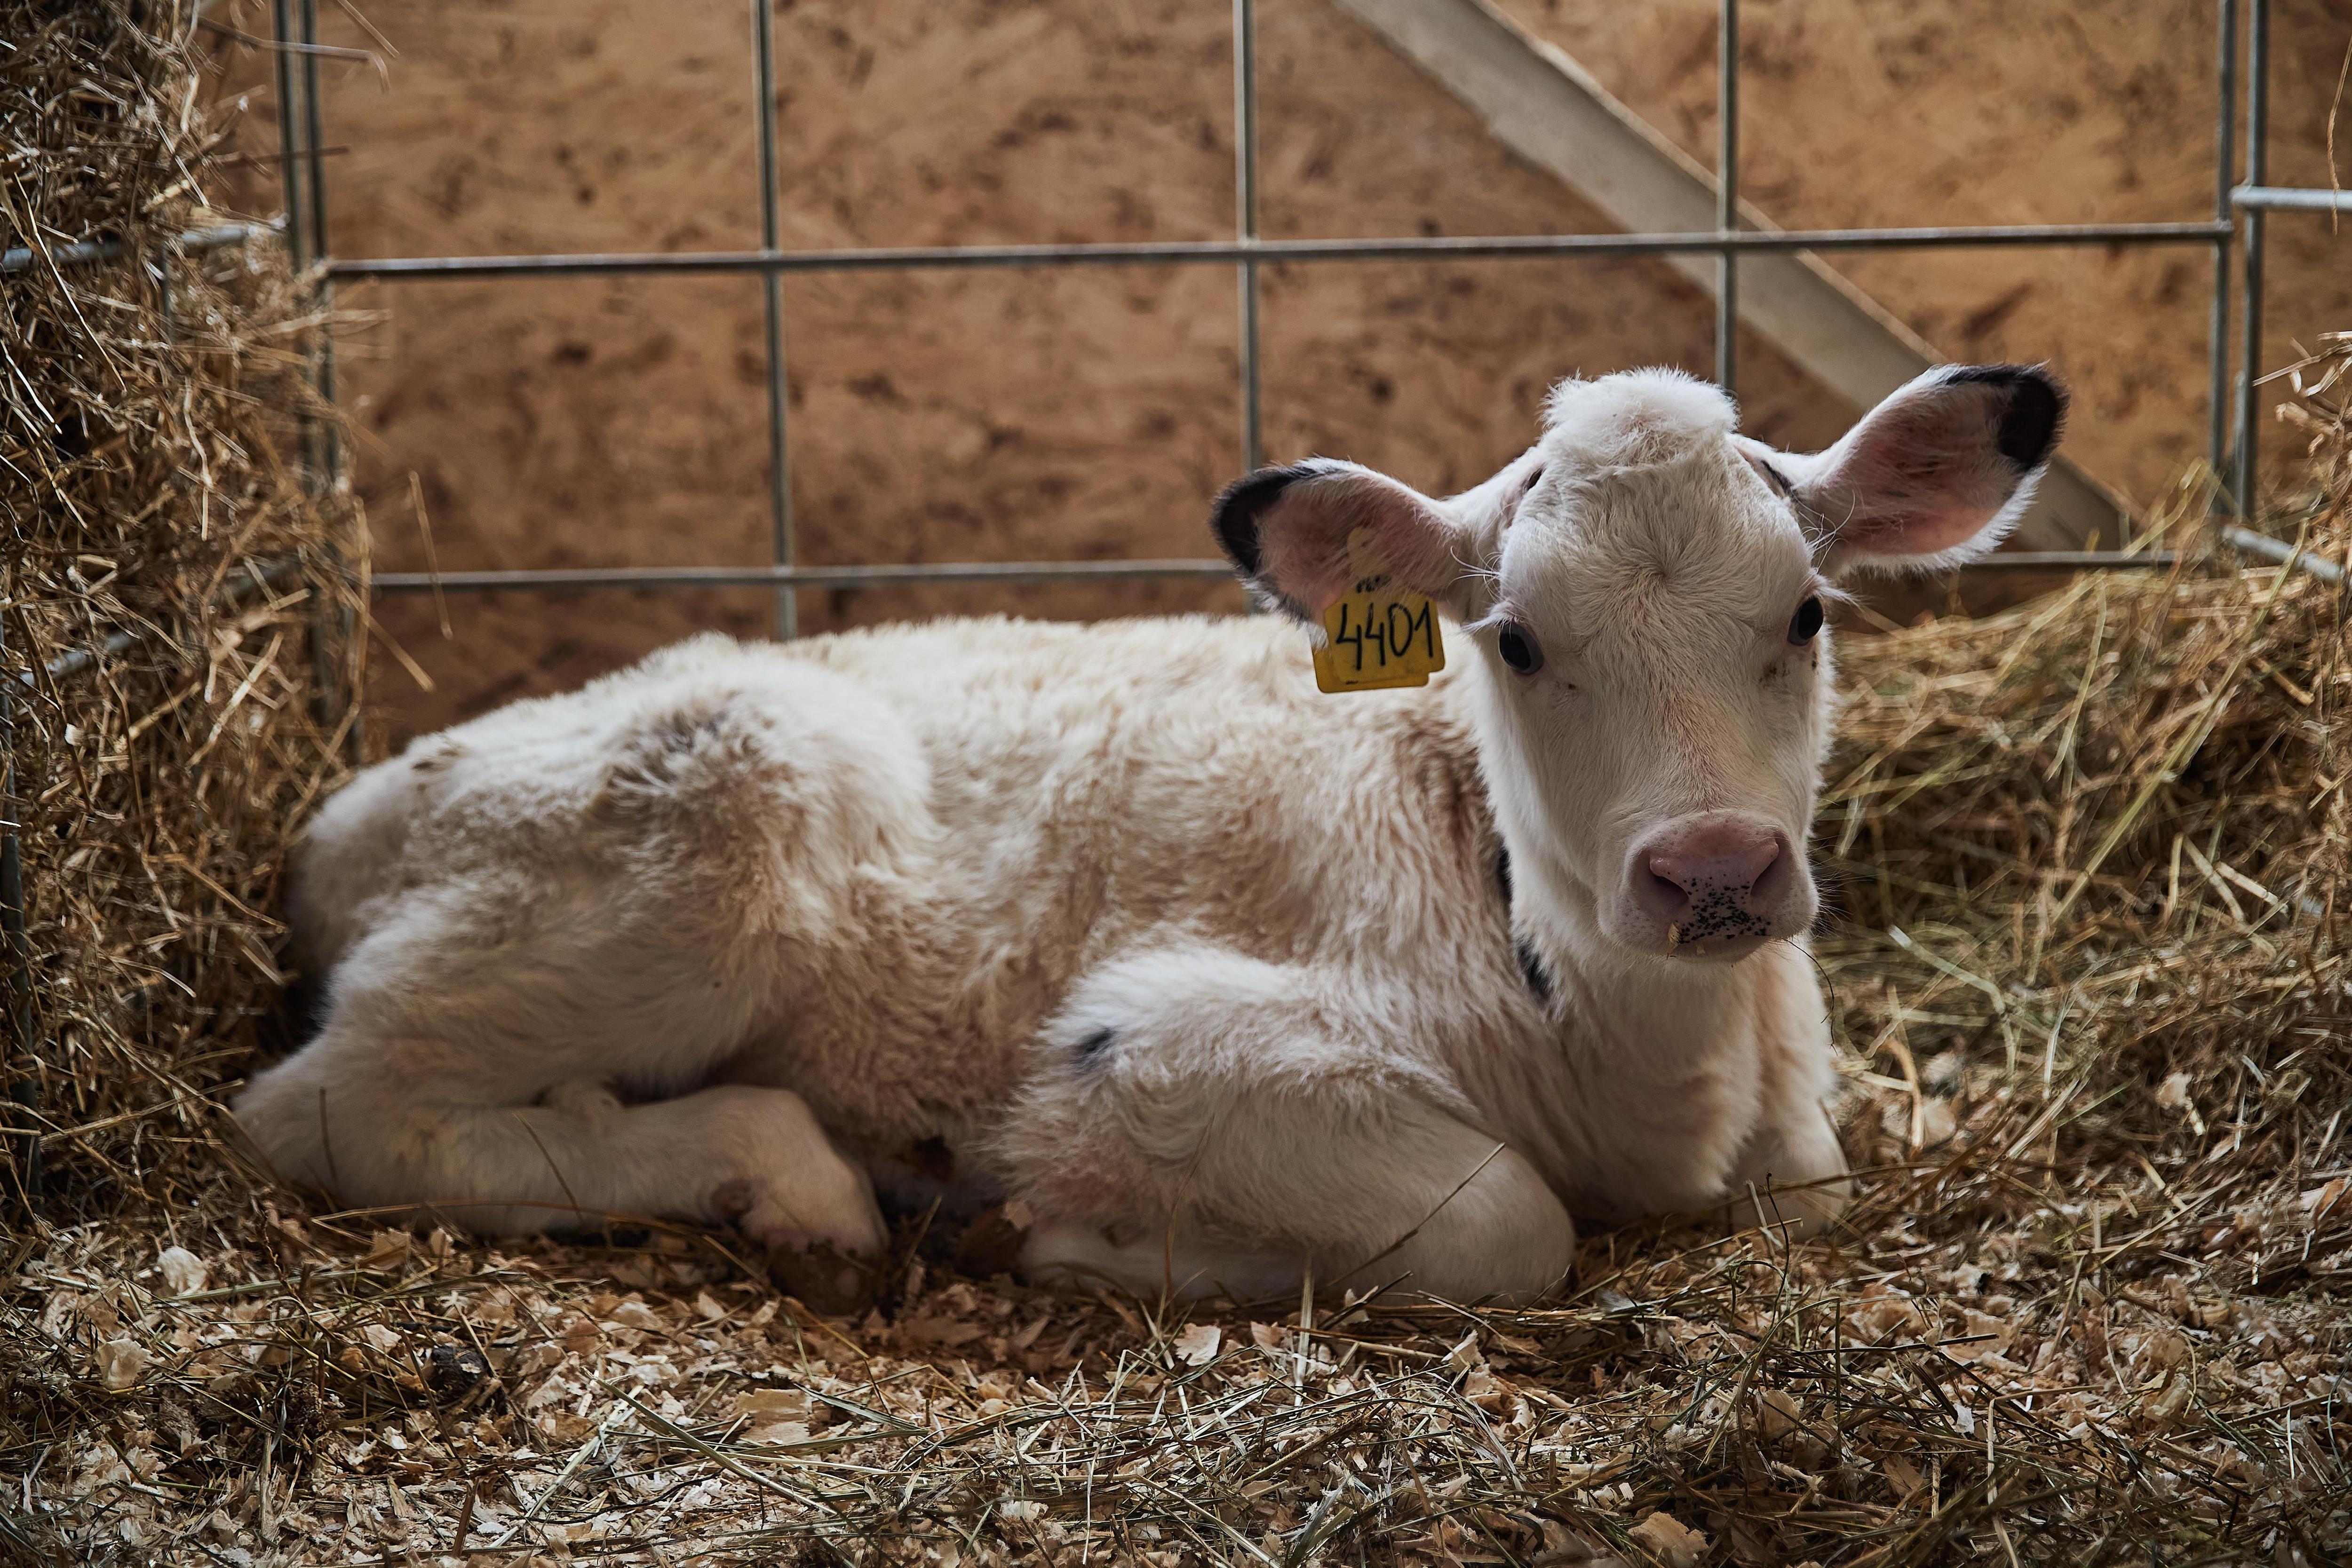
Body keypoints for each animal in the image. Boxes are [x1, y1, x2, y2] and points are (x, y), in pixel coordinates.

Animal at [234, 362, 2060, 1307]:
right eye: (1519, 641)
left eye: (1806, 612)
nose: (1711, 871)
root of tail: (340, 814)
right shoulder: (1156, 1044)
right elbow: (1504, 1222)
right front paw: (1097, 1235)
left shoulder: (1795, 1122)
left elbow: (1806, 1193)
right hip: (715, 810)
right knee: (332, 1109)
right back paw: (789, 1178)